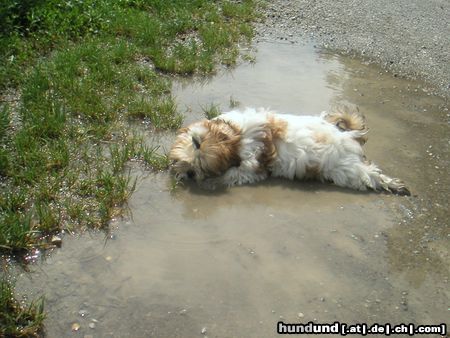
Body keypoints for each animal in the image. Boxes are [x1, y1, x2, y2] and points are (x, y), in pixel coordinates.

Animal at [167, 105, 410, 195]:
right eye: (194, 142)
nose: (190, 172)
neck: (238, 136)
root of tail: (348, 136)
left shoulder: (251, 168)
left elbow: (233, 175)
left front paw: (211, 182)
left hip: (348, 171)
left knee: (370, 175)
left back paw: (394, 185)